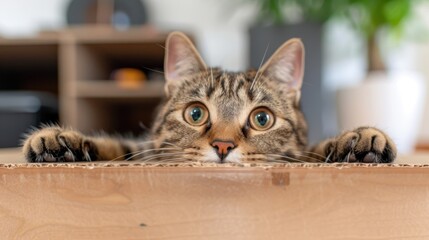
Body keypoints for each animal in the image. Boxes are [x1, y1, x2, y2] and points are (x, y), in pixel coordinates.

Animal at [21, 31, 396, 163]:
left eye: (262, 118)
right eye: (196, 114)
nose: (223, 146)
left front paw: (357, 140)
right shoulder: (143, 149)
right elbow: (116, 145)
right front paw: (60, 141)